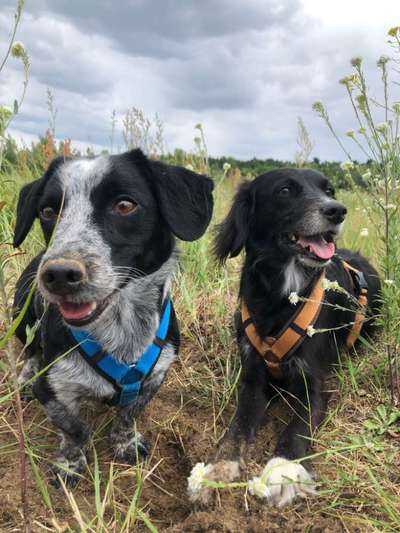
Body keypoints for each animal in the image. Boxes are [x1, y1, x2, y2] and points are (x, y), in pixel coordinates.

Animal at [12, 149, 214, 486]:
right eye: (49, 211)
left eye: (124, 205)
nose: (58, 274)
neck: (121, 327)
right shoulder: (52, 389)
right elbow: (75, 428)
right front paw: (70, 463)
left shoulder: (155, 377)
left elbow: (128, 414)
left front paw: (125, 443)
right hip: (21, 317)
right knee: (30, 350)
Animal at [189, 168, 380, 504]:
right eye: (285, 190)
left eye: (329, 190)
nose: (337, 210)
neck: (283, 292)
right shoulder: (252, 379)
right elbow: (237, 427)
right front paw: (216, 470)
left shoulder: (316, 386)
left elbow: (296, 428)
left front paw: (282, 472)